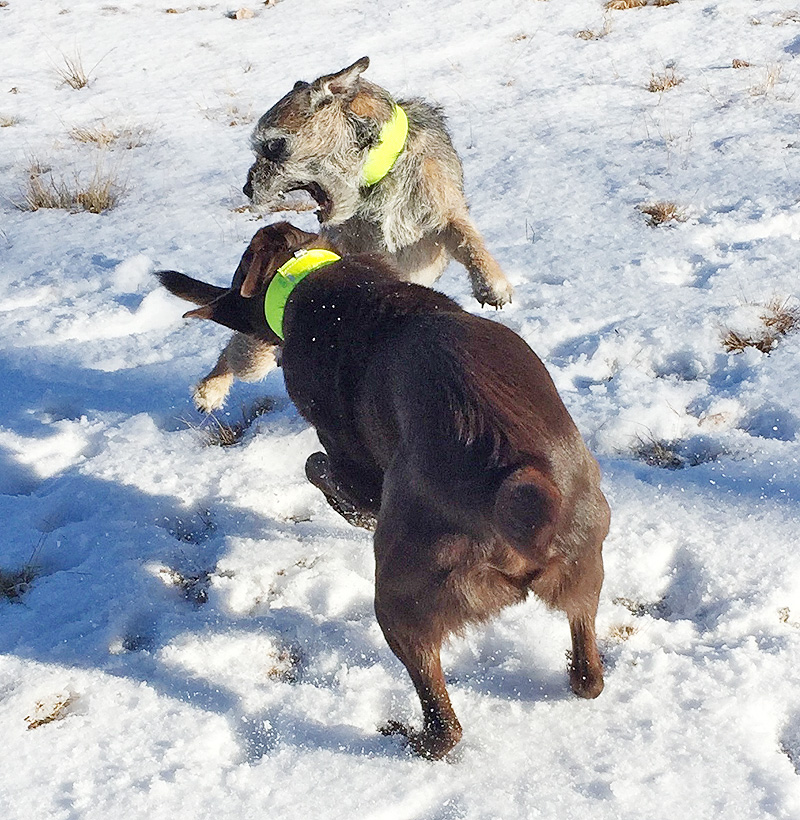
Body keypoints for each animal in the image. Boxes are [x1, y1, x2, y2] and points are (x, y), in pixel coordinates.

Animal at [158, 222, 607, 760]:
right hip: (585, 564)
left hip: (401, 594)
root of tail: (513, 480)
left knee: (445, 723)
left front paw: (350, 511)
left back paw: (411, 739)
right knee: (589, 675)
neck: (310, 276)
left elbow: (319, 467)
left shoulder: (352, 460)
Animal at [190, 56, 513, 413]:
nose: (248, 188)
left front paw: (491, 284)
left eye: (274, 145)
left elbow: (468, 239)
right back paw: (210, 388)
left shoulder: (444, 213)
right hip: (254, 356)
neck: (380, 173)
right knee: (234, 351)